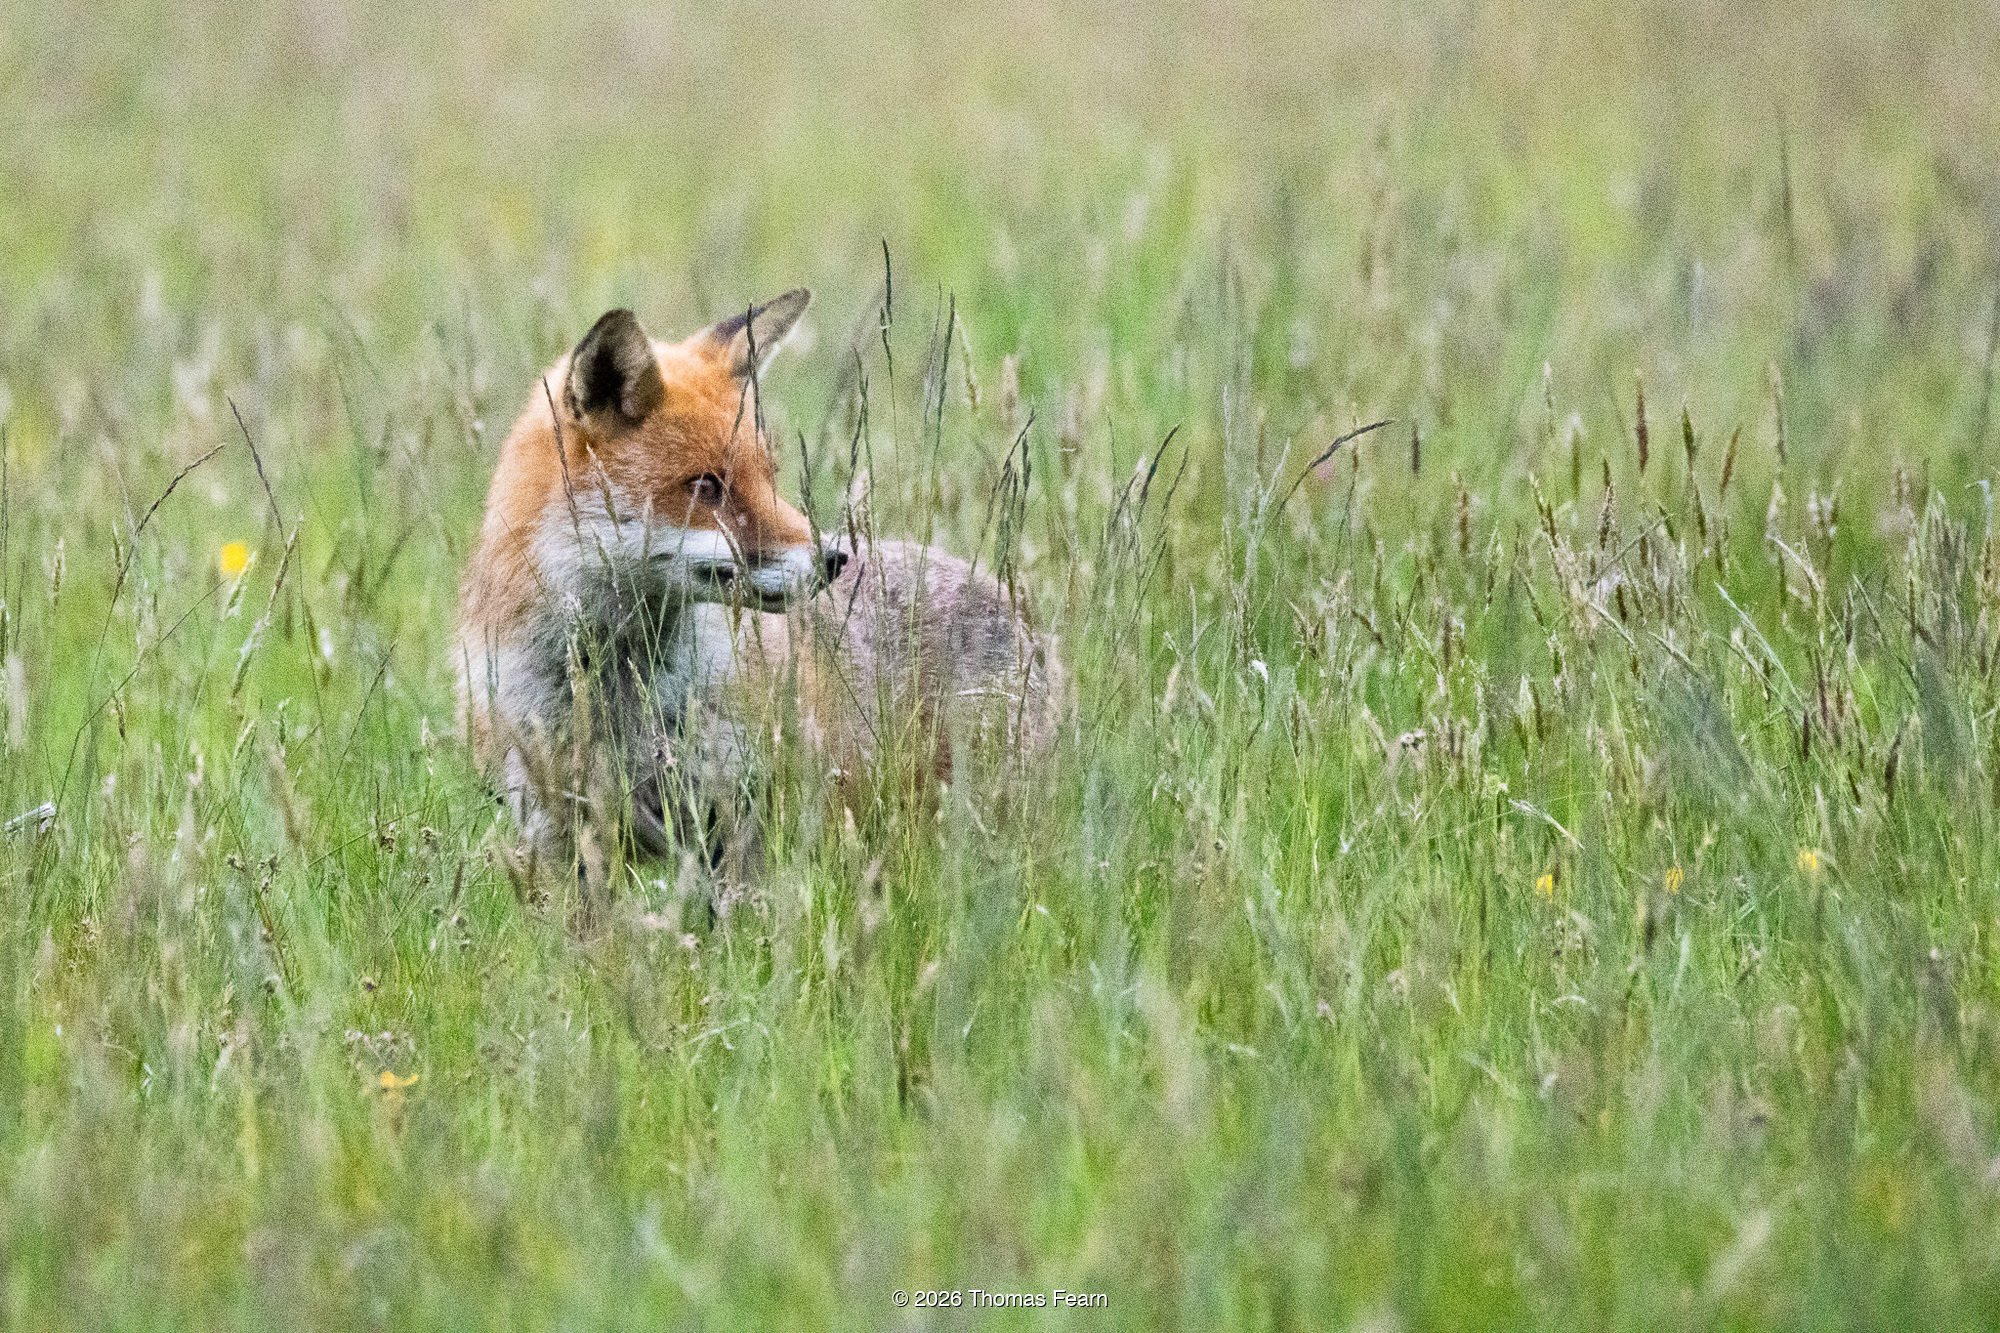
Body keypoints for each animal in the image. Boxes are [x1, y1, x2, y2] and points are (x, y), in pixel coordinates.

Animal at [456, 290, 1060, 884]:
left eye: (769, 476)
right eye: (706, 485)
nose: (835, 558)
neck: (617, 691)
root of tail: (1019, 607)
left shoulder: (751, 815)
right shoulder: (560, 839)